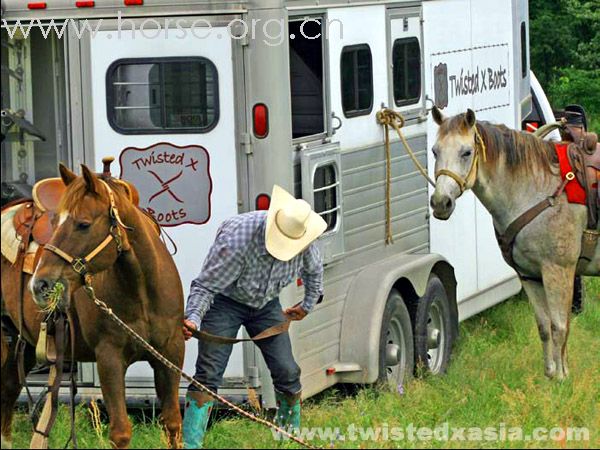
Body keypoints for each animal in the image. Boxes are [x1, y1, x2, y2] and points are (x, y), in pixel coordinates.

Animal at [0, 164, 183, 446]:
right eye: (53, 222)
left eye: (83, 224)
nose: (40, 284)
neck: (141, 292)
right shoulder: (109, 357)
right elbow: (120, 432)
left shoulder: (170, 354)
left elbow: (172, 423)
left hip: (24, 341)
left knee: (8, 389)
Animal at [428, 108, 596, 380]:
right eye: (435, 151)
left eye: (466, 152)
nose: (441, 202)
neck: (537, 191)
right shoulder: (530, 275)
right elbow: (544, 327)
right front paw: (551, 376)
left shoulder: (558, 271)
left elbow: (560, 328)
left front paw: (563, 379)